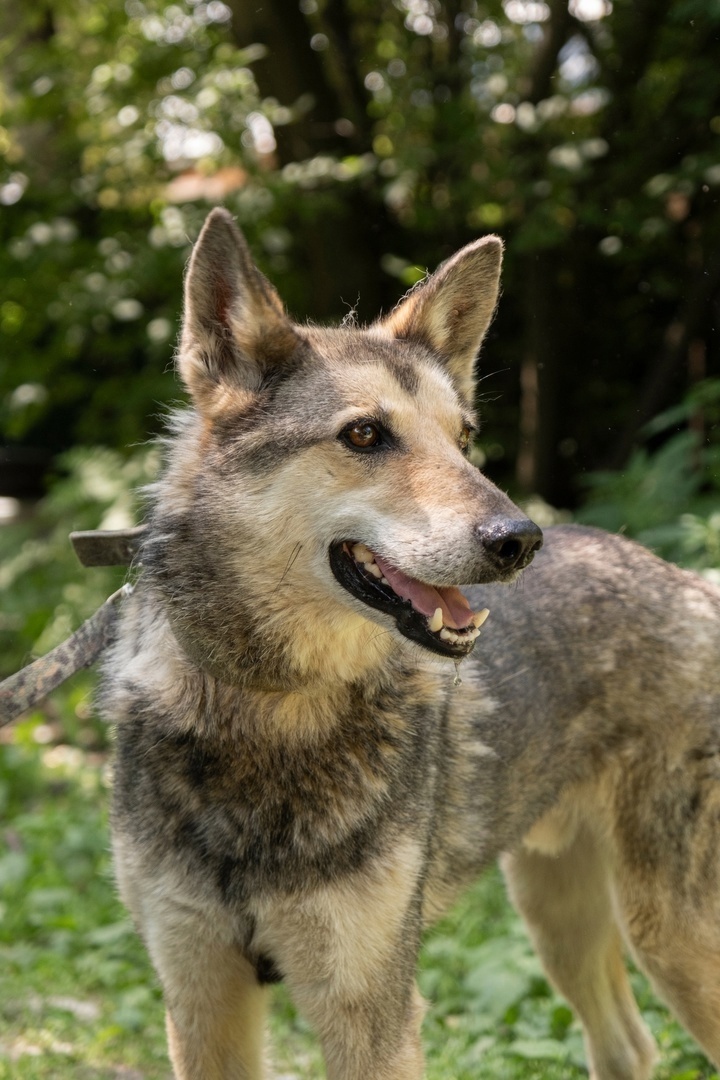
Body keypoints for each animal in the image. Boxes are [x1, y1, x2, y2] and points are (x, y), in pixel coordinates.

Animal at [99, 210, 720, 1080]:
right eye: (364, 434)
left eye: (465, 439)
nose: (519, 540)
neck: (270, 711)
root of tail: (692, 580)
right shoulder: (200, 997)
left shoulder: (371, 1009)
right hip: (559, 915)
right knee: (629, 1046)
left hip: (666, 935)